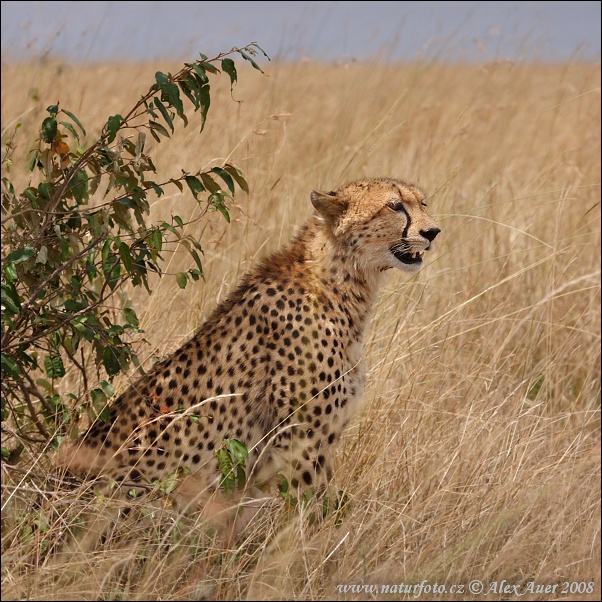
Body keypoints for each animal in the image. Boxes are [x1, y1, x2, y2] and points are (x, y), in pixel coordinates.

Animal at [58, 176, 438, 512]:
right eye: (394, 206)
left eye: (422, 203)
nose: (432, 232)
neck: (341, 282)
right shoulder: (300, 440)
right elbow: (307, 510)